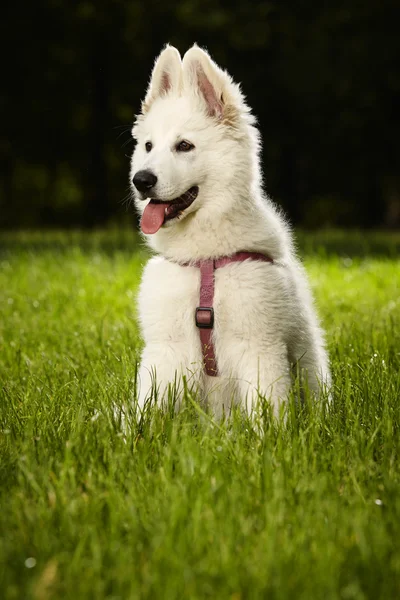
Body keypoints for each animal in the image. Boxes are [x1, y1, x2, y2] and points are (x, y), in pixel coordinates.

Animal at [131, 44, 332, 418]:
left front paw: (268, 435)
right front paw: (134, 433)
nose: (141, 180)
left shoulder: (260, 348)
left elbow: (267, 411)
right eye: (148, 146)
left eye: (184, 146)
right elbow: (148, 410)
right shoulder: (164, 350)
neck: (204, 260)